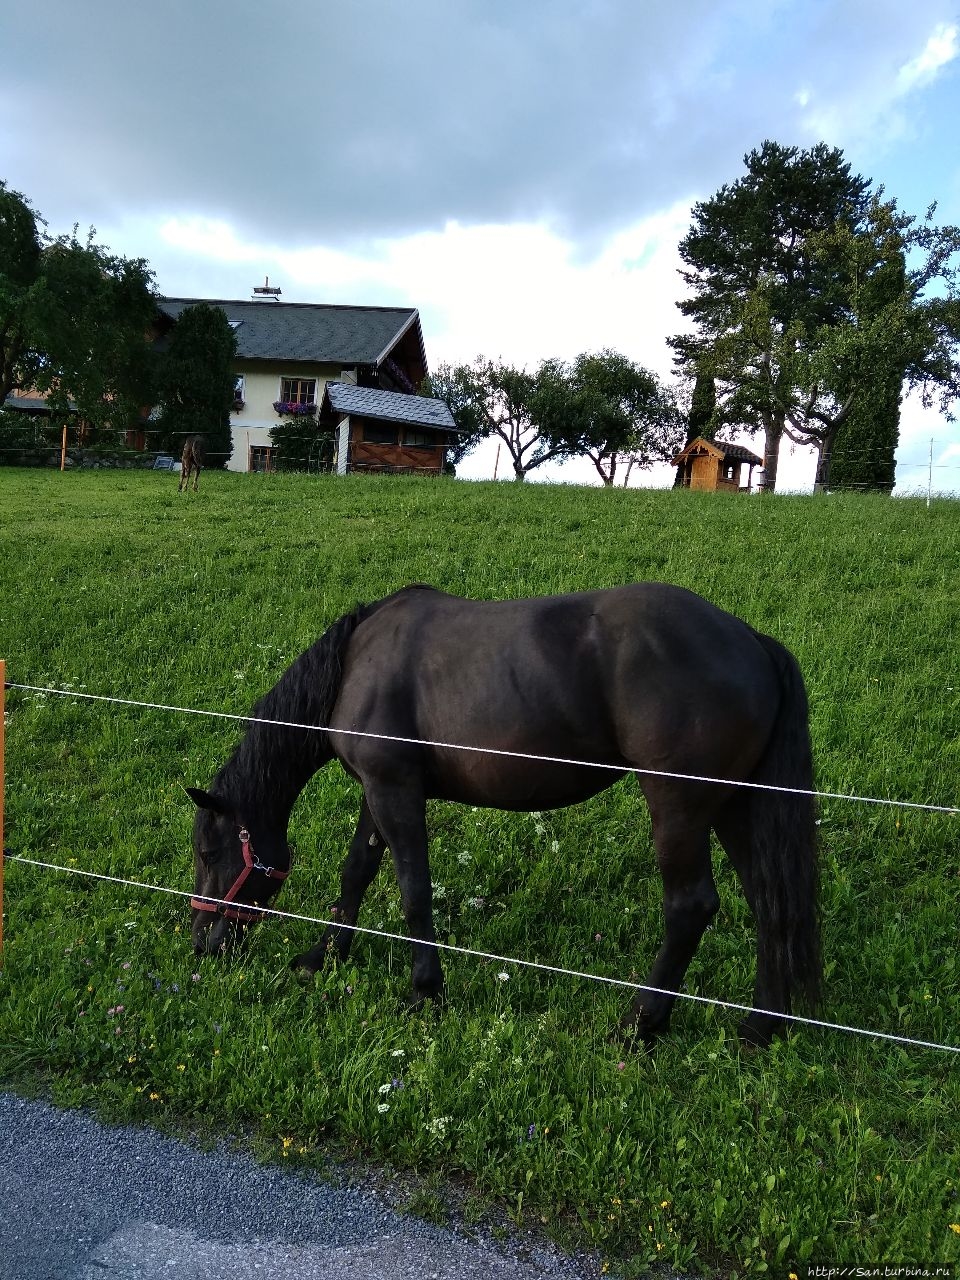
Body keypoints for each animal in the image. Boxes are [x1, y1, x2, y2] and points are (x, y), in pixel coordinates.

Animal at [192, 586, 824, 1044]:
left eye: (208, 852)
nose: (203, 943)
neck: (354, 662)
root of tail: (751, 641)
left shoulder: (394, 790)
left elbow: (413, 890)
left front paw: (425, 990)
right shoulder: (379, 790)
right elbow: (356, 875)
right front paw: (322, 958)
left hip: (679, 808)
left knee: (692, 907)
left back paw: (639, 1024)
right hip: (734, 806)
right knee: (770, 900)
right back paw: (760, 1026)